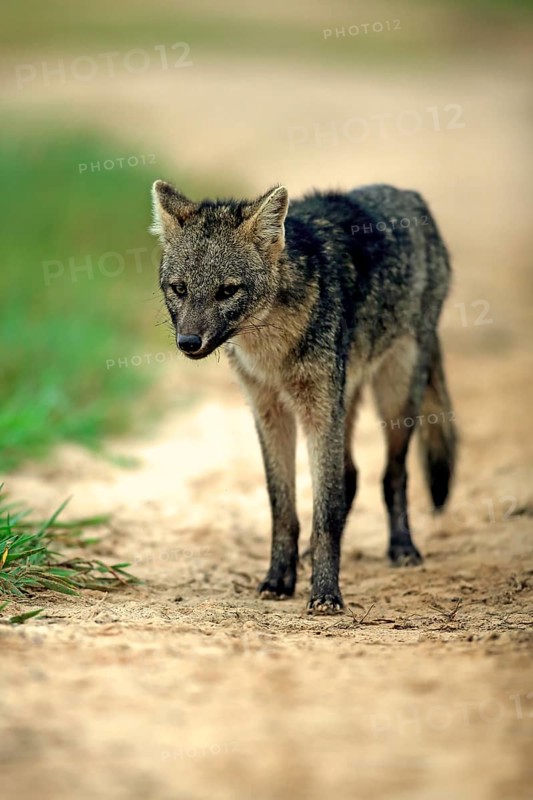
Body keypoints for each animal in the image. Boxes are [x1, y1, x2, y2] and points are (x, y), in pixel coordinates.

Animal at [150, 180, 457, 613]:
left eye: (227, 291)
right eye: (180, 289)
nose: (189, 343)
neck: (271, 350)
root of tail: (408, 193)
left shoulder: (318, 411)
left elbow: (325, 513)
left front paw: (326, 593)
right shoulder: (270, 413)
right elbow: (284, 509)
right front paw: (280, 578)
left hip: (393, 398)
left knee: (393, 474)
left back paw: (402, 548)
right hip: (347, 400)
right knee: (351, 474)